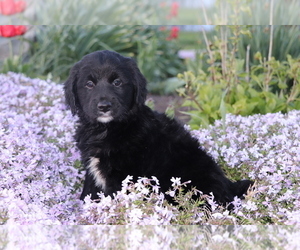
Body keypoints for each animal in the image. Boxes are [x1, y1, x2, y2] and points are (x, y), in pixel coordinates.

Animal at [63, 49, 253, 206]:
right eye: (89, 84)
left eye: (117, 82)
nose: (104, 106)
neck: (107, 130)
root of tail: (229, 188)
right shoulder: (91, 170)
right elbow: (88, 193)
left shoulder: (124, 177)